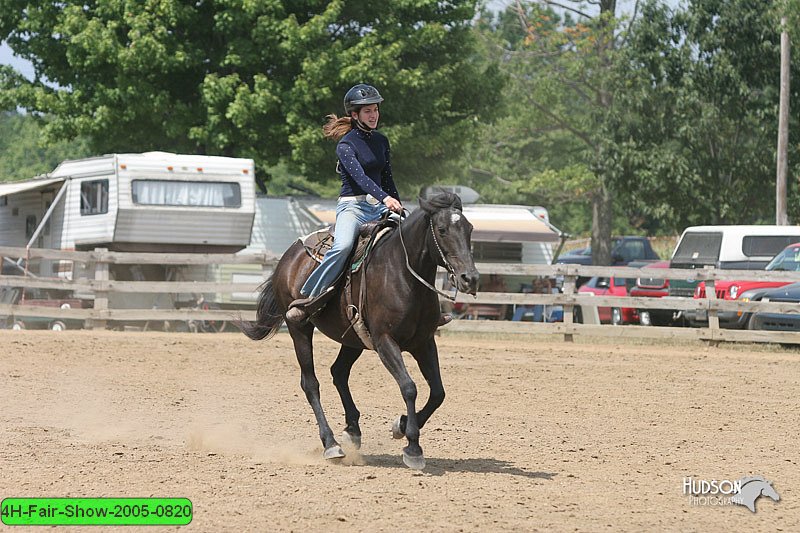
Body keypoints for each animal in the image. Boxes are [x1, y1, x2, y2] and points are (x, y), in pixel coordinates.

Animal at [236, 193, 476, 468]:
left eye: (469, 229)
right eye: (443, 229)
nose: (470, 278)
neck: (402, 274)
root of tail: (290, 254)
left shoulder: (424, 342)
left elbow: (437, 393)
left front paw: (401, 426)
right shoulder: (385, 341)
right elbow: (409, 387)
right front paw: (413, 447)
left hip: (352, 339)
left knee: (339, 372)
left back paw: (352, 430)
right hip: (300, 328)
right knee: (311, 383)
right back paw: (331, 444)